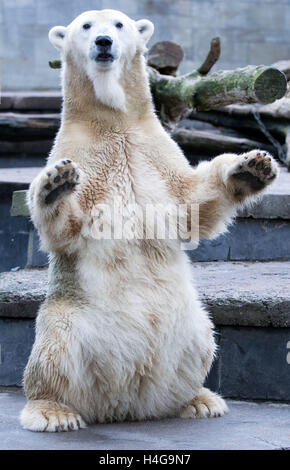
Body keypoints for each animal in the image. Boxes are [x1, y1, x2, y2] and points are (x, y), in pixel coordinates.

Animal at [19, 9, 278, 432]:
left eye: (119, 24)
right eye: (86, 25)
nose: (104, 42)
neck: (113, 123)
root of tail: (124, 402)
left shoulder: (153, 149)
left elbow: (191, 206)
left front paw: (251, 167)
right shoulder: (80, 151)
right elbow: (66, 228)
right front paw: (56, 184)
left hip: (188, 322)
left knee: (204, 337)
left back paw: (198, 400)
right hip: (71, 313)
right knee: (54, 348)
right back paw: (54, 411)